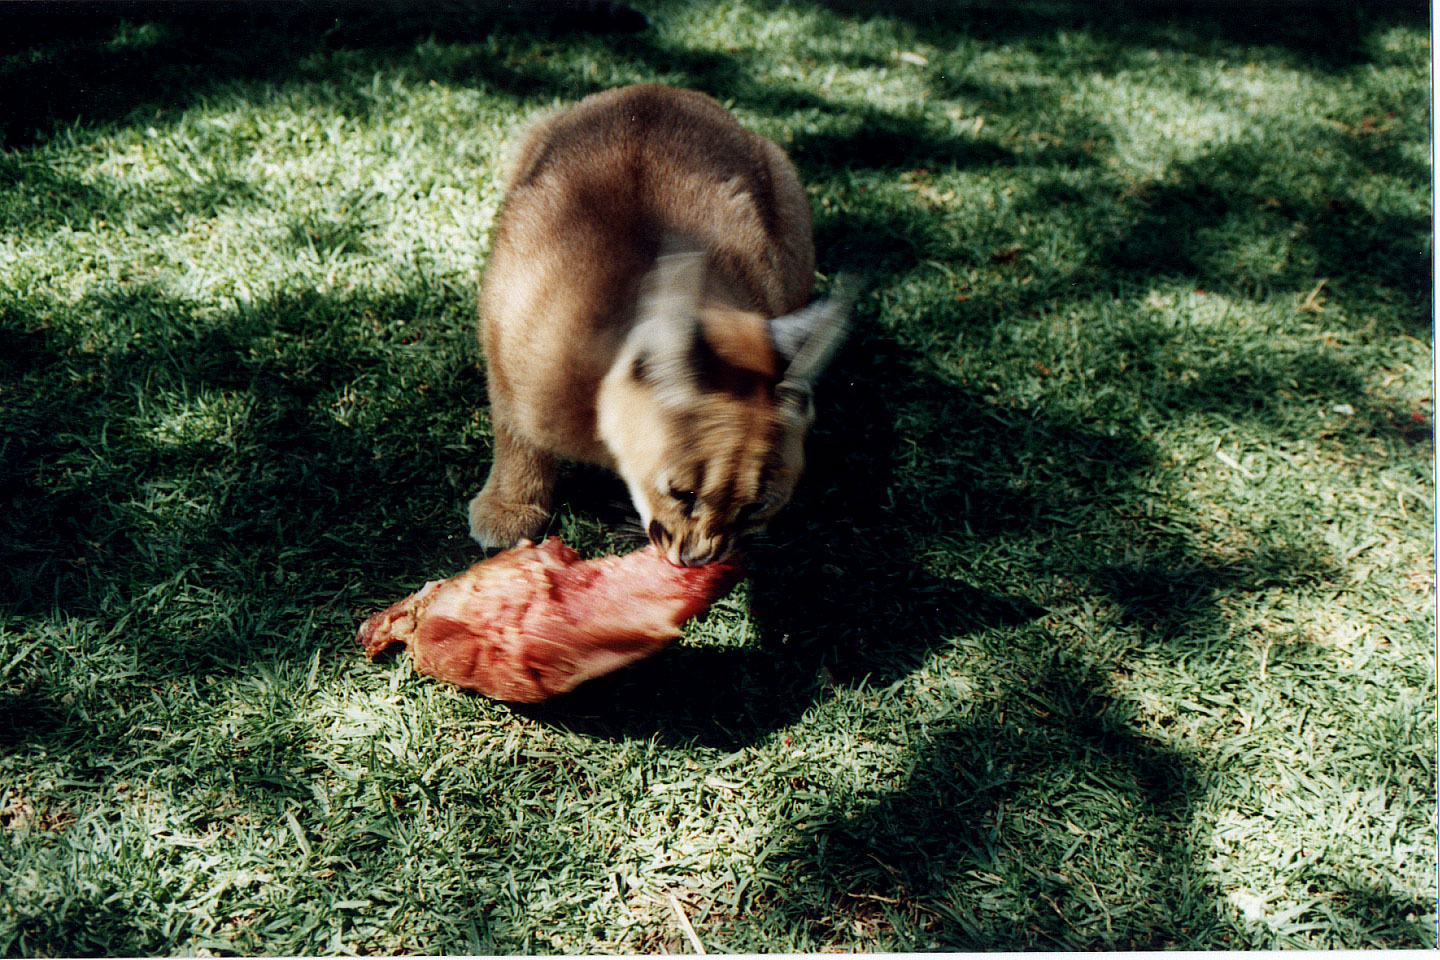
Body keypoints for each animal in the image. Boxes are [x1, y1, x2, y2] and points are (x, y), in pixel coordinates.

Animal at [472, 82, 852, 567]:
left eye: (754, 507)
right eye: (682, 493)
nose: (700, 557)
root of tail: (656, 88)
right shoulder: (501, 328)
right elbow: (514, 425)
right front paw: (510, 504)